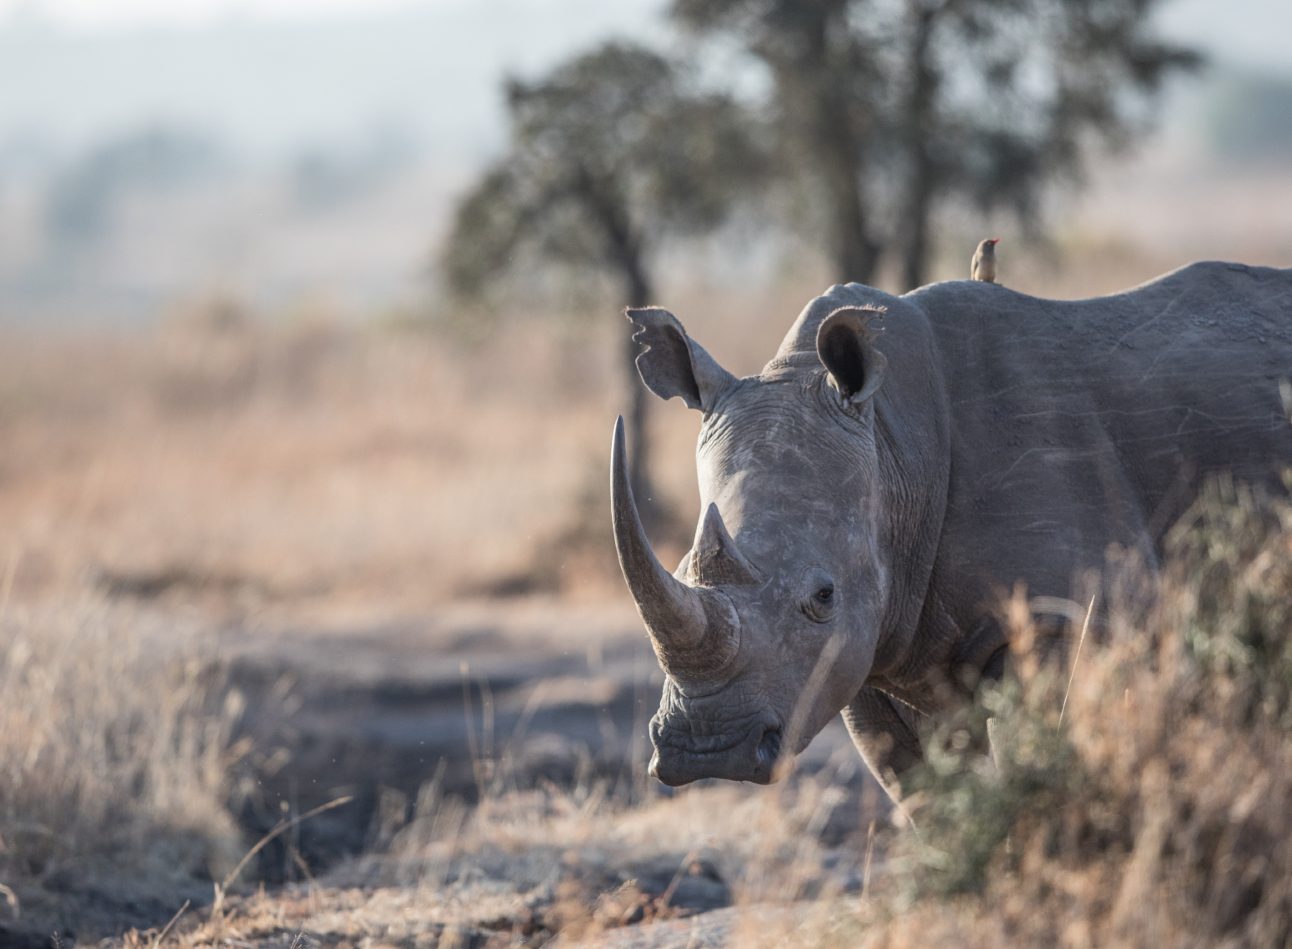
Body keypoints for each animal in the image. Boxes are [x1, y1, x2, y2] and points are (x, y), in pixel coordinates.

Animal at [609, 262, 1292, 800]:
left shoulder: (1059, 612)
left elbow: (1039, 766)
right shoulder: (875, 653)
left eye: (823, 597)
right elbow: (927, 798)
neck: (895, 445)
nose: (709, 748)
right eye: (681, 571)